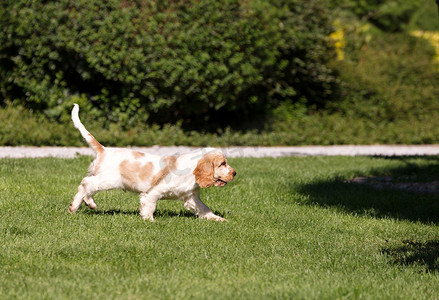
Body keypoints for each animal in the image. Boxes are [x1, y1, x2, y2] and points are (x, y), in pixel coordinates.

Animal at [68, 104, 237, 221]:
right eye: (222, 164)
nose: (235, 173)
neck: (191, 172)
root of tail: (104, 150)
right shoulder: (154, 191)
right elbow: (149, 205)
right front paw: (149, 220)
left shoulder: (191, 197)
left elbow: (204, 209)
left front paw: (218, 219)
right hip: (109, 180)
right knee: (86, 184)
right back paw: (77, 206)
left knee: (87, 187)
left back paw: (86, 205)